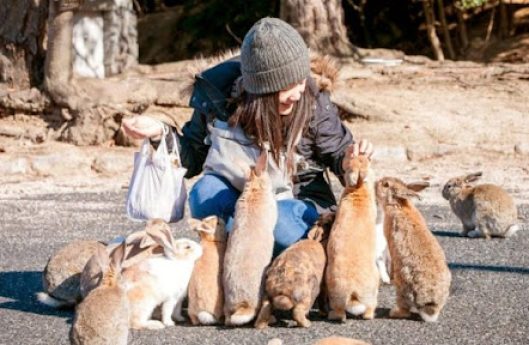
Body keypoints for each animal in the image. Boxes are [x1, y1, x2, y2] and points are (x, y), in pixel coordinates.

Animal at [376, 176, 450, 322]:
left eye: (386, 185)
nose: (376, 183)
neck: (398, 204)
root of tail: (429, 305)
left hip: (403, 285)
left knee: (404, 308)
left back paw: (394, 312)